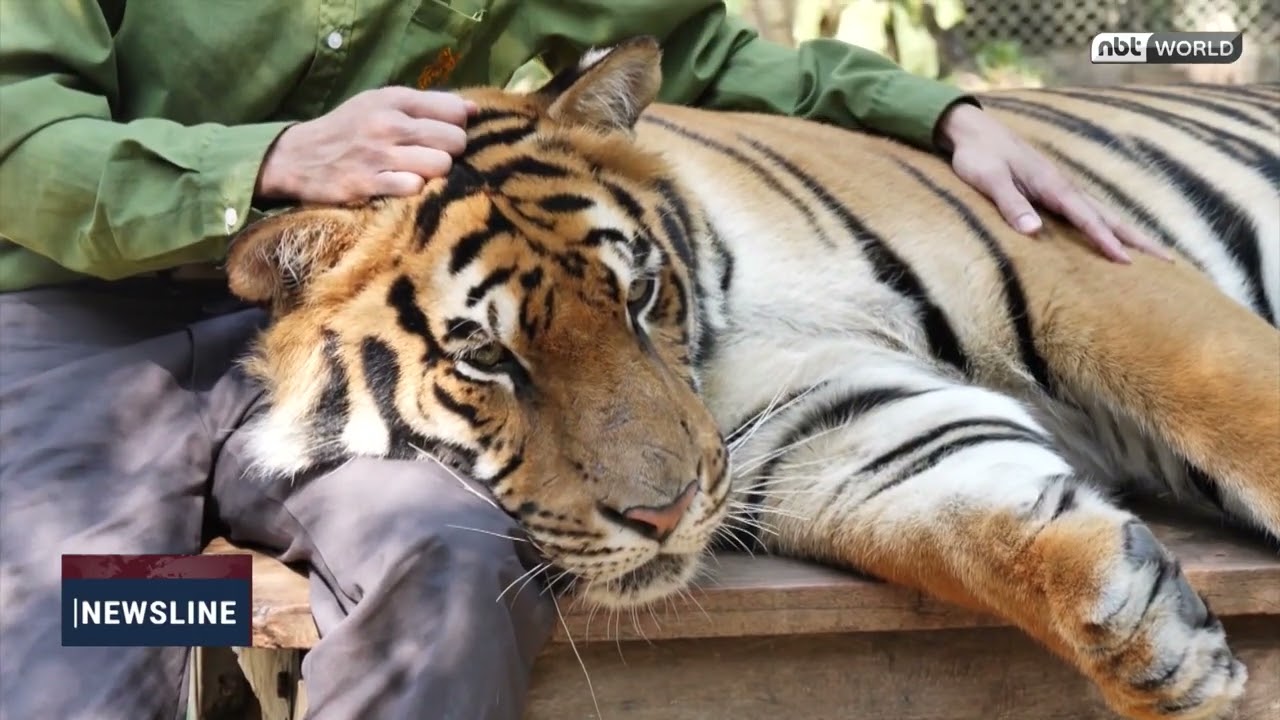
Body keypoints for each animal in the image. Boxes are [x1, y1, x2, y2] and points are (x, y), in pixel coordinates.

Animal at [224, 37, 1279, 720]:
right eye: (486, 357)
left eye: (640, 294)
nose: (662, 515)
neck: (718, 336)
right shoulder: (825, 425)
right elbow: (970, 512)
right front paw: (1159, 642)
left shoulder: (1090, 279)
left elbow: (1249, 418)